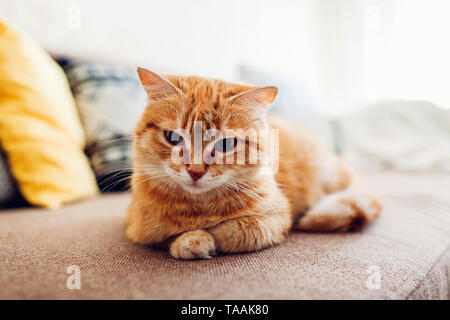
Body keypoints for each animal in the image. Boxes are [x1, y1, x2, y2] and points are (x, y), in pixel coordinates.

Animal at [126, 68, 384, 260]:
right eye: (173, 138)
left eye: (225, 144)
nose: (195, 171)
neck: (198, 209)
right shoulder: (138, 227)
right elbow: (163, 235)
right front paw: (188, 238)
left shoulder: (275, 220)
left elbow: (233, 231)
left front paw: (197, 239)